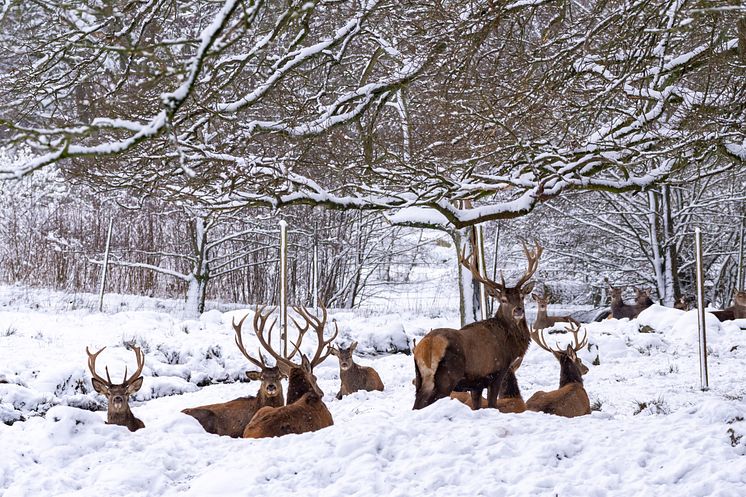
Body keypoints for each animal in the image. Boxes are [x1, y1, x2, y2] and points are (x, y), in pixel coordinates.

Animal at [412, 239, 540, 406]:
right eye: (503, 300)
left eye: (522, 296)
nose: (518, 310)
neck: (511, 347)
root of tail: (427, 346)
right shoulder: (497, 373)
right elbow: (492, 405)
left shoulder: (476, 383)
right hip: (446, 378)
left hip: (420, 378)